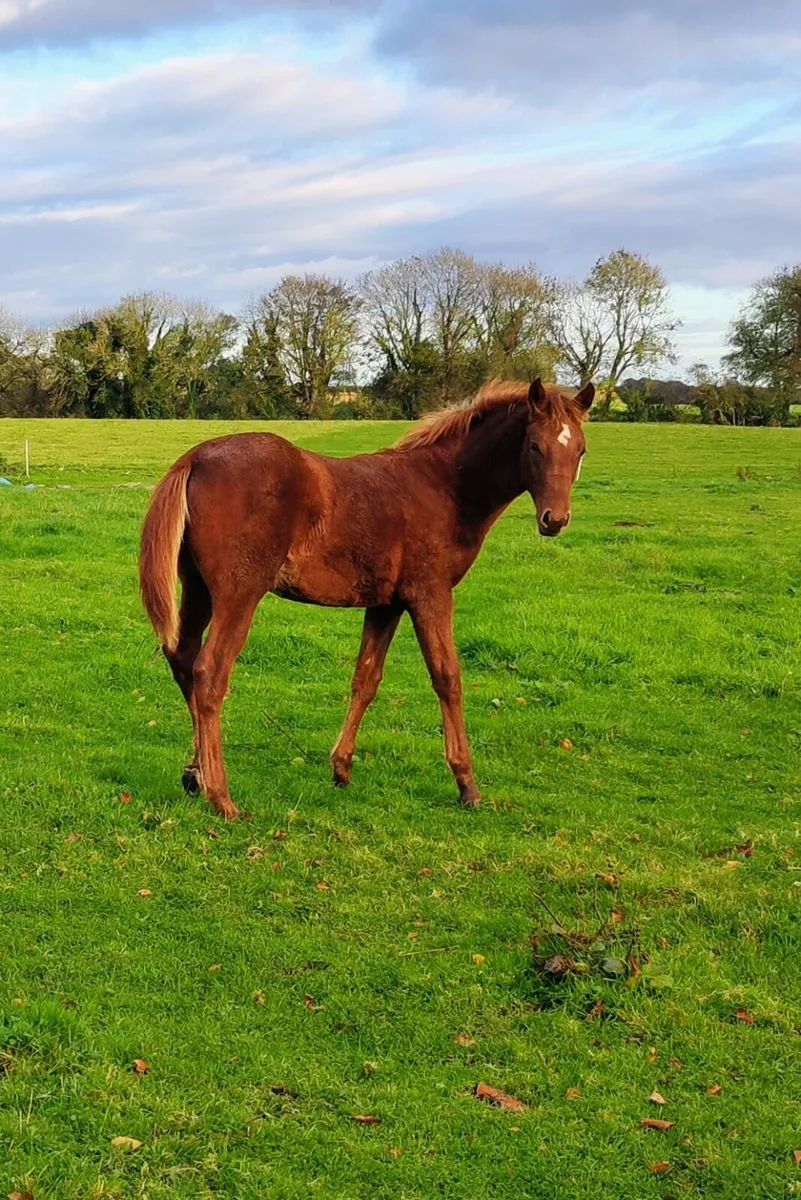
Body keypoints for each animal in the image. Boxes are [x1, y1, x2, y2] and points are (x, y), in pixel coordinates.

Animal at [139, 377, 595, 819]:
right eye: (534, 446)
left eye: (581, 450)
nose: (555, 520)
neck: (445, 485)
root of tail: (196, 458)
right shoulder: (430, 593)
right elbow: (447, 677)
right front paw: (467, 784)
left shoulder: (385, 604)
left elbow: (366, 678)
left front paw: (341, 767)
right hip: (240, 592)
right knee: (210, 672)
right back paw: (222, 796)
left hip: (198, 588)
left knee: (182, 657)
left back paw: (196, 774)